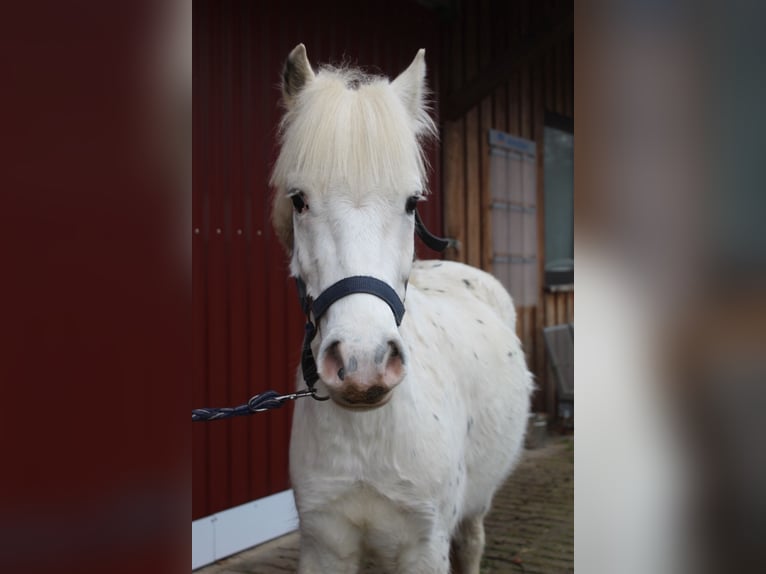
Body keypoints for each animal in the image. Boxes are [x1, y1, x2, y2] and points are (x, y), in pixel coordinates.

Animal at [270, 44, 533, 574]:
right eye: (299, 200)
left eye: (412, 202)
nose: (363, 366)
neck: (369, 433)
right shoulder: (324, 545)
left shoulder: (424, 547)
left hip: (477, 504)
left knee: (472, 542)